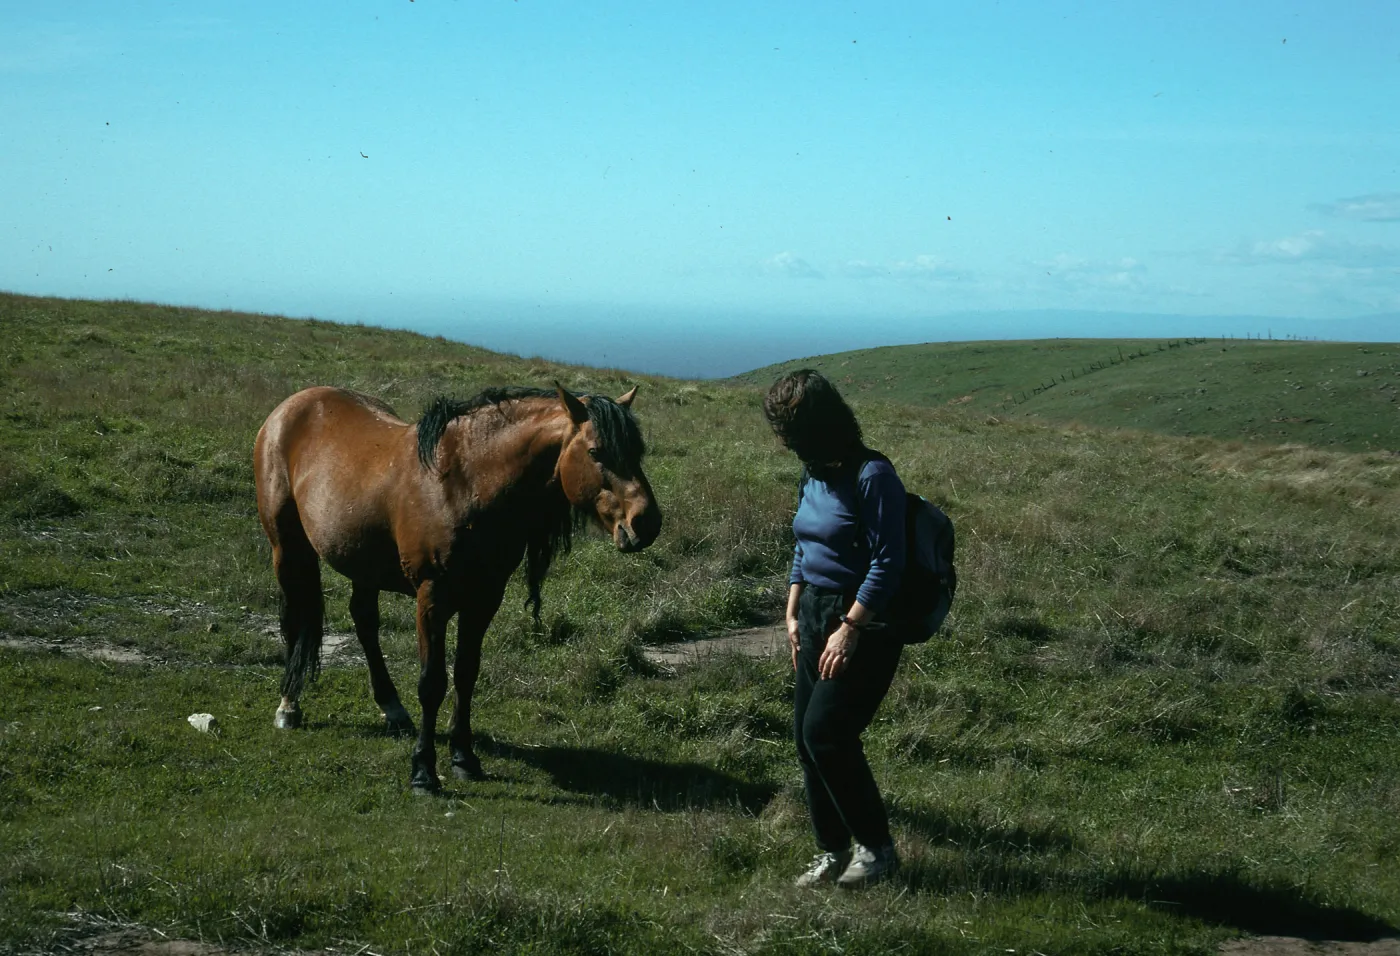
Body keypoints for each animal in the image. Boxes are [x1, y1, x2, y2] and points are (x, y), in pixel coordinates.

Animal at [253, 383, 661, 794]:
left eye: (638, 451)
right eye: (596, 451)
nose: (646, 522)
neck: (464, 485)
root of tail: (293, 405)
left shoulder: (484, 598)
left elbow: (466, 674)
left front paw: (464, 757)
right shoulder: (432, 598)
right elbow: (432, 683)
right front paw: (423, 771)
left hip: (361, 562)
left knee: (365, 621)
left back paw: (392, 708)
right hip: (286, 548)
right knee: (295, 620)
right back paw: (289, 705)